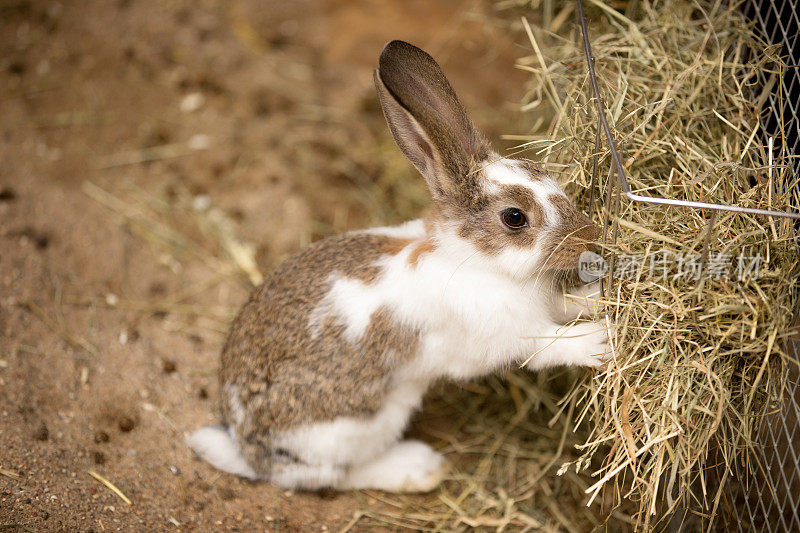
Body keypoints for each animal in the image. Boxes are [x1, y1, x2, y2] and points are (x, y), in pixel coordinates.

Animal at [188, 39, 612, 492]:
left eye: (545, 175)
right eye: (515, 218)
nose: (591, 238)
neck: (474, 259)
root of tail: (247, 449)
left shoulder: (544, 303)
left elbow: (568, 305)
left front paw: (600, 301)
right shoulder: (505, 335)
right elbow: (548, 345)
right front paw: (599, 340)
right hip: (356, 428)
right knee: (330, 476)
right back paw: (419, 468)